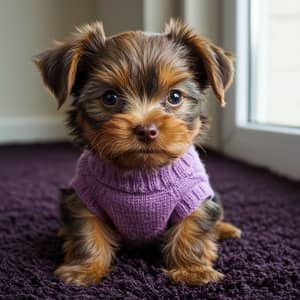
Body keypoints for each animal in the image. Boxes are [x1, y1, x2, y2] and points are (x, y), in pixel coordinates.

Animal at [34, 18, 241, 286]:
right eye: (110, 98)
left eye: (175, 97)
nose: (146, 130)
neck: (142, 173)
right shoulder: (84, 196)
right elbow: (87, 230)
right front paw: (84, 270)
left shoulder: (194, 195)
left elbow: (193, 227)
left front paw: (192, 270)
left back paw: (225, 229)